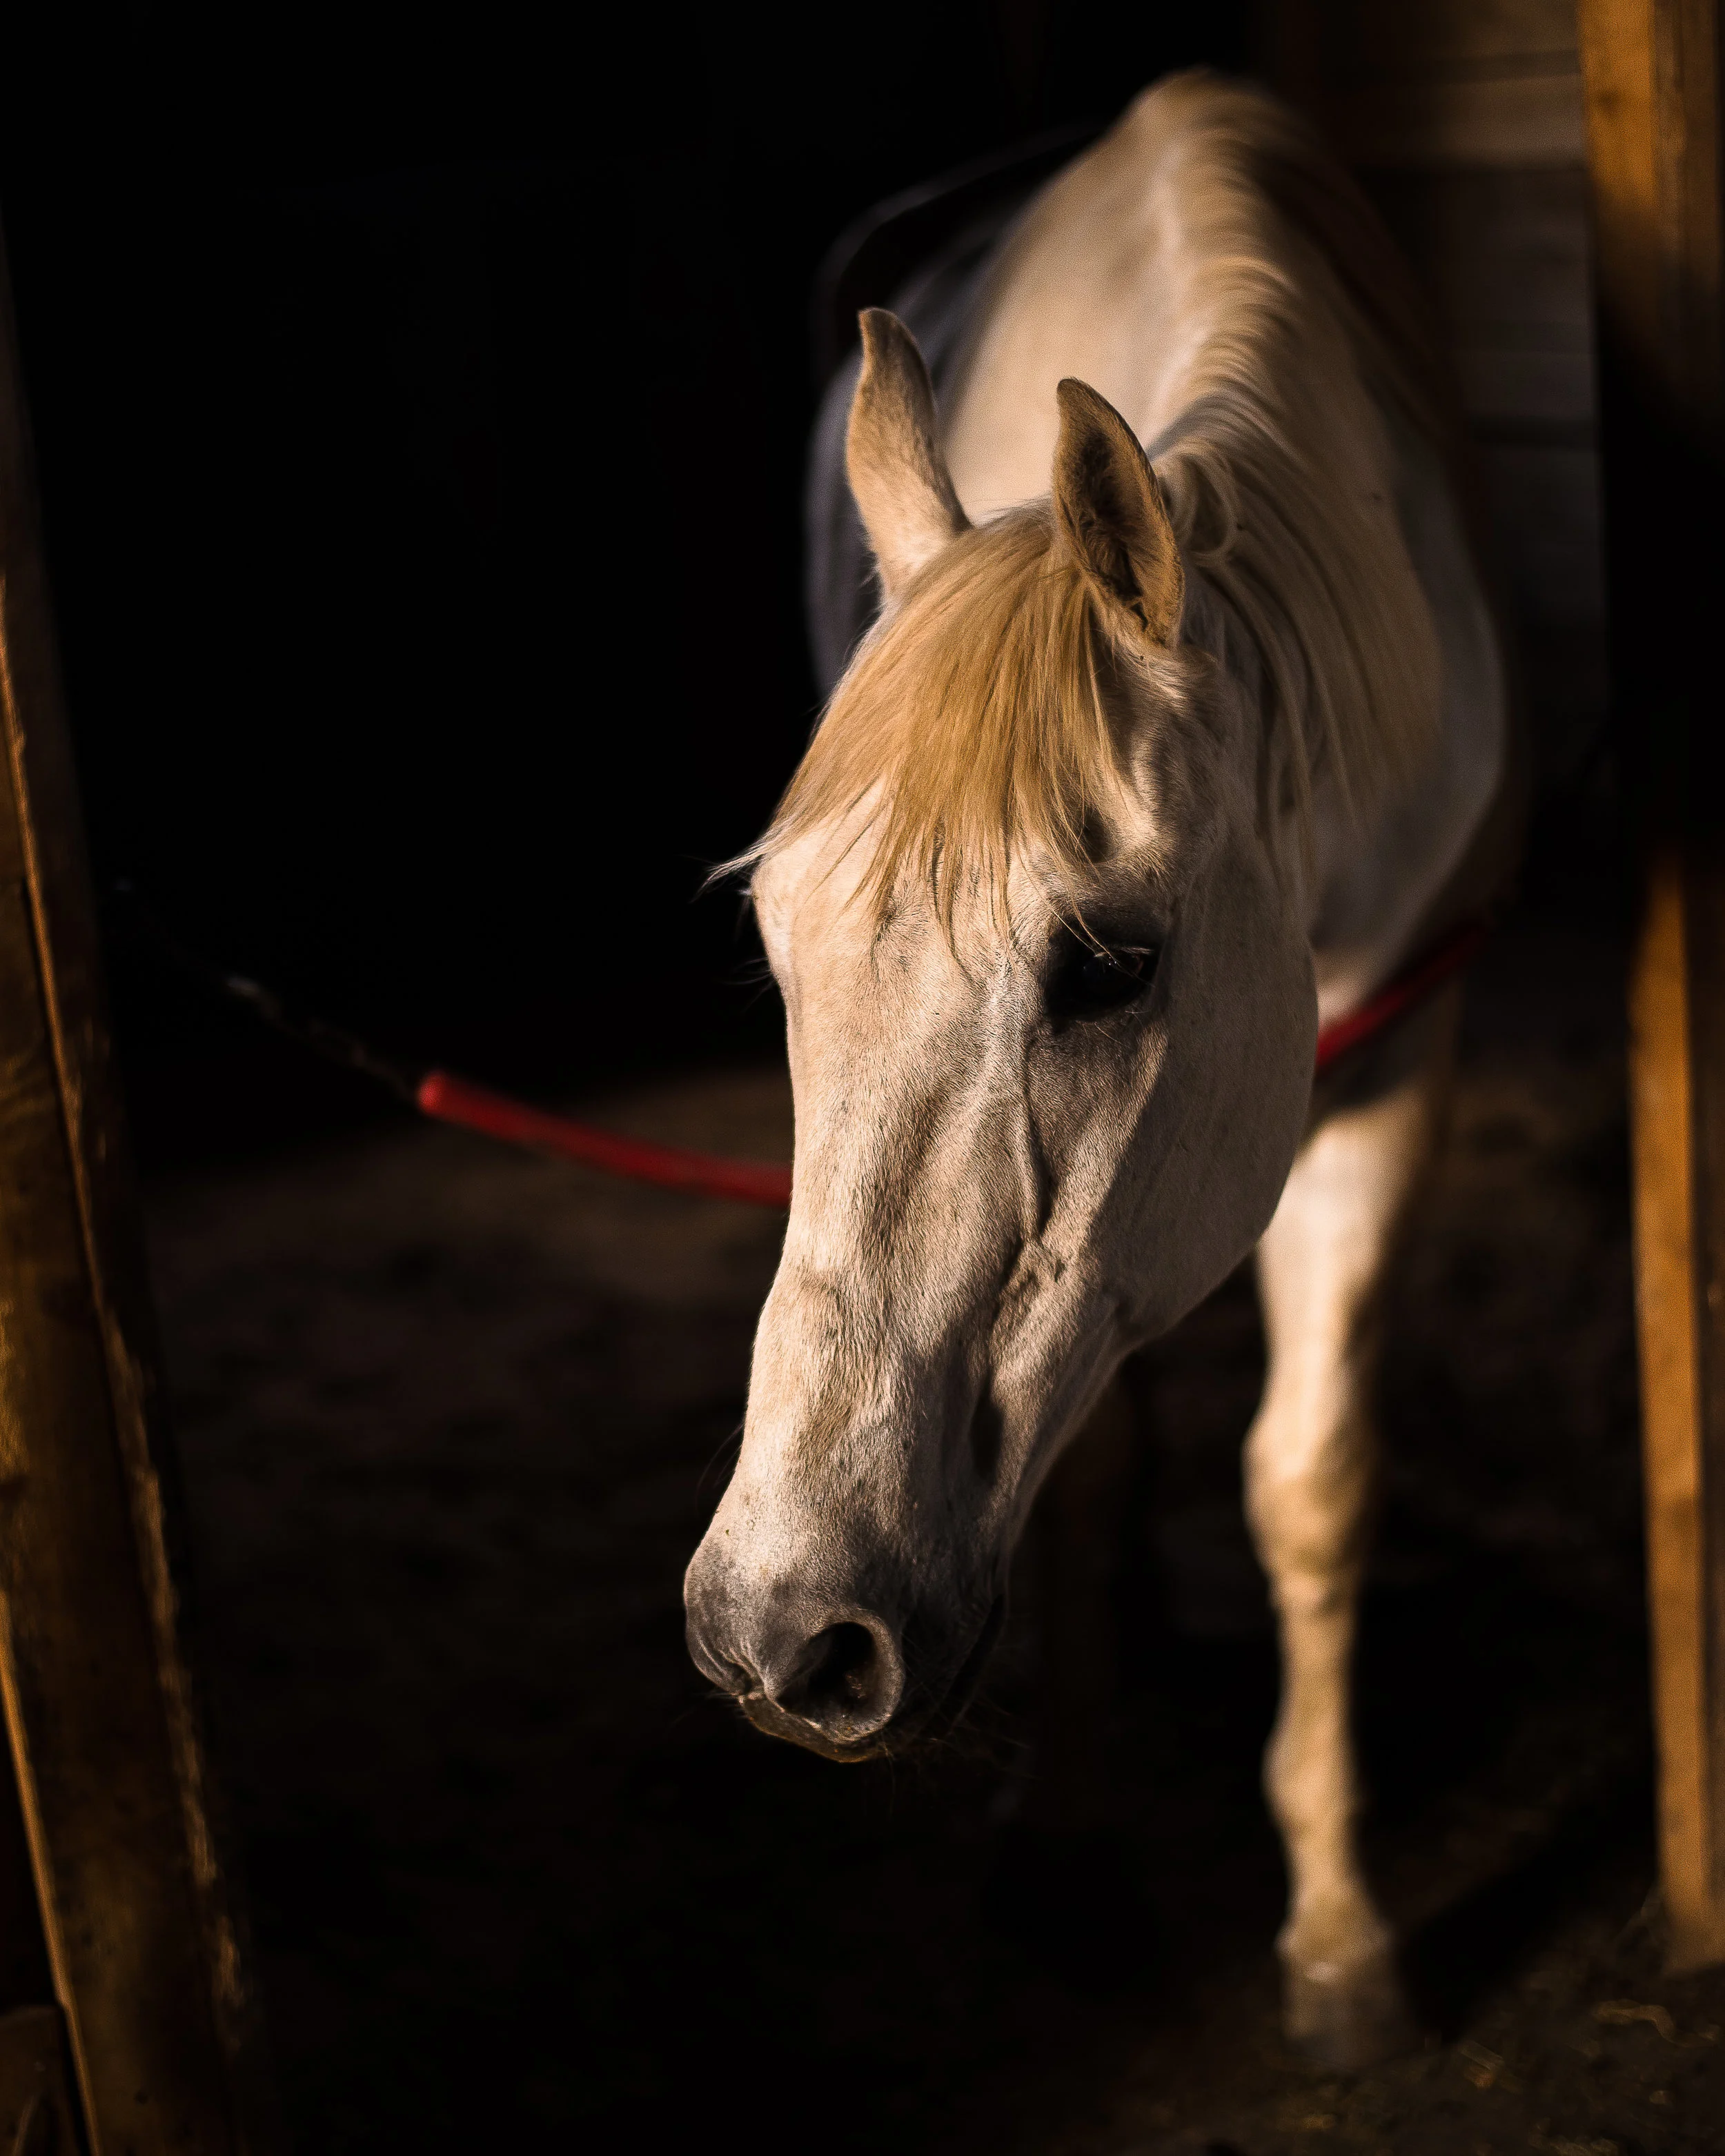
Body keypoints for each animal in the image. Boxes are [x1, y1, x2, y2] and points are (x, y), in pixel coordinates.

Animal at [683, 71, 1517, 2071]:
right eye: (775, 955)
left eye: (1111, 964)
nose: (778, 1631)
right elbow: (1075, 1461)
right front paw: (1064, 1847)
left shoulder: (1400, 1064)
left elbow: (1311, 1479)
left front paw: (1342, 1935)